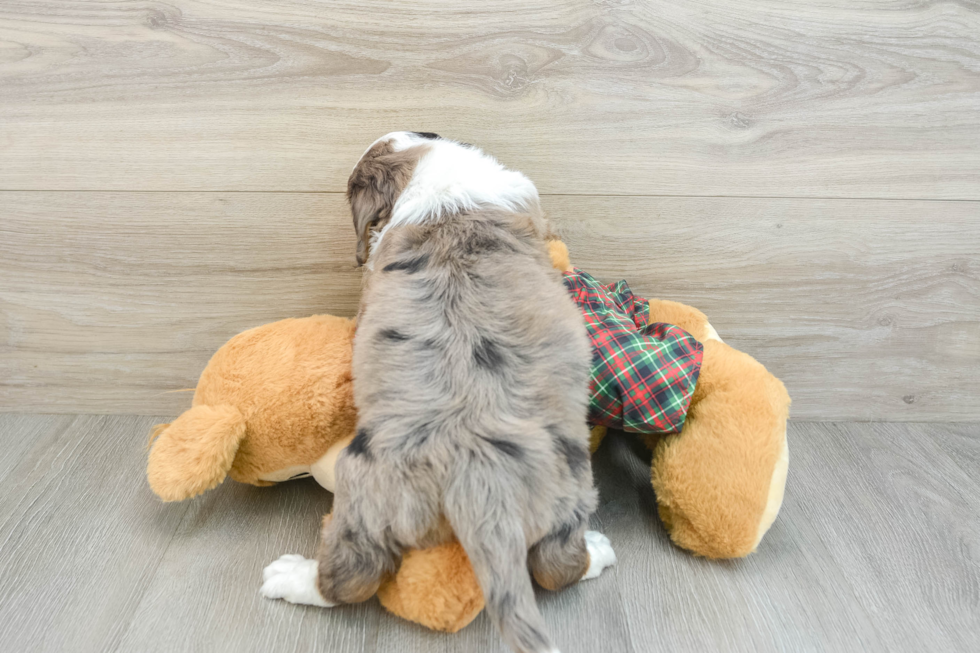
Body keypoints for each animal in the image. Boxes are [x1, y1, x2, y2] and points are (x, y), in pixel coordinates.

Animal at [260, 132, 612, 652]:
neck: (436, 175)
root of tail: (480, 475)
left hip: (366, 493)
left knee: (355, 576)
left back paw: (293, 577)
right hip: (568, 490)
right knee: (556, 566)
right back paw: (598, 551)